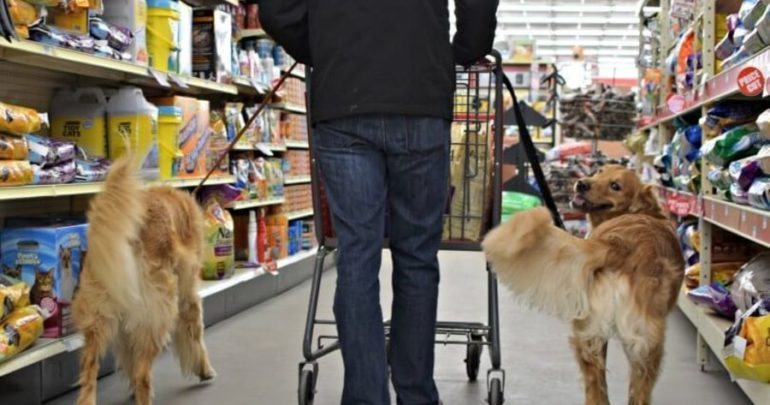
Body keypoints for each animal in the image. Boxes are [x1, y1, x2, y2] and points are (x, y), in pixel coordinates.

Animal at [72, 156, 215, 405]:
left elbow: (129, 356)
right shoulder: (188, 293)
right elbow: (196, 334)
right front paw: (204, 369)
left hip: (98, 313)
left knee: (89, 369)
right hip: (160, 311)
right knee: (142, 374)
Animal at [482, 165, 685, 405]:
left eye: (615, 186)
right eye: (600, 171)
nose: (582, 184)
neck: (640, 213)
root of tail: (618, 245)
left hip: (603, 338)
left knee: (597, 388)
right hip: (642, 347)